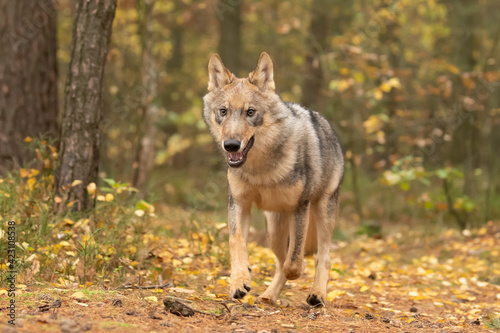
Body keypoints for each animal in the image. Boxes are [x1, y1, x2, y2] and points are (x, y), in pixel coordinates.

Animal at [202, 52, 344, 306]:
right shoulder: (239, 203)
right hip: (274, 231)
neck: (261, 168)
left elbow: (295, 262)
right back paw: (268, 296)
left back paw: (317, 295)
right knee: (280, 260)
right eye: (223, 111)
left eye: (250, 112)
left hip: (322, 212)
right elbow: (236, 242)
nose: (231, 145)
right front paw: (240, 280)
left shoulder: (300, 207)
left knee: (323, 257)